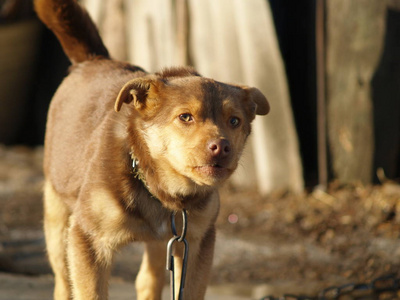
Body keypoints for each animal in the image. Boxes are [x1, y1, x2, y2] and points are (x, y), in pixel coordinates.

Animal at [36, 0, 270, 300]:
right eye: (185, 117)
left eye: (234, 121)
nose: (222, 147)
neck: (164, 192)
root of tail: (95, 59)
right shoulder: (87, 239)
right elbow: (90, 291)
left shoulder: (195, 242)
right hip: (56, 218)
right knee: (63, 281)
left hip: (163, 244)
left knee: (148, 279)